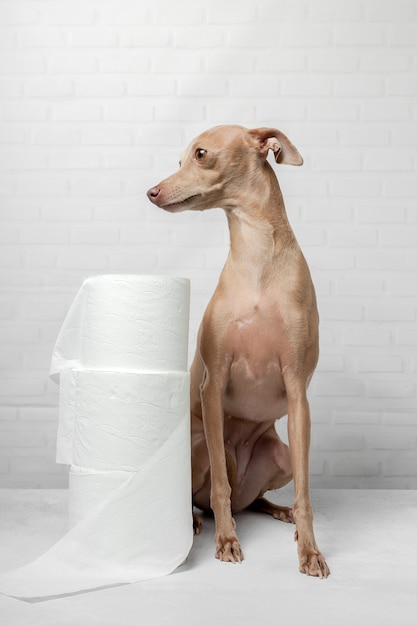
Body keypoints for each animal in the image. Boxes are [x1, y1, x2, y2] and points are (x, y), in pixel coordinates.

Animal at [146, 125, 328, 576]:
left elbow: (306, 492)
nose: (152, 192)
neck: (258, 257)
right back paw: (198, 521)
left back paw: (277, 510)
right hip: (201, 448)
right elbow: (220, 490)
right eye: (179, 161)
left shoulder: (298, 392)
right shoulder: (213, 384)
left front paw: (310, 549)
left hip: (281, 454)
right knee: (213, 491)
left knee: (253, 498)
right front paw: (227, 540)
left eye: (200, 154)